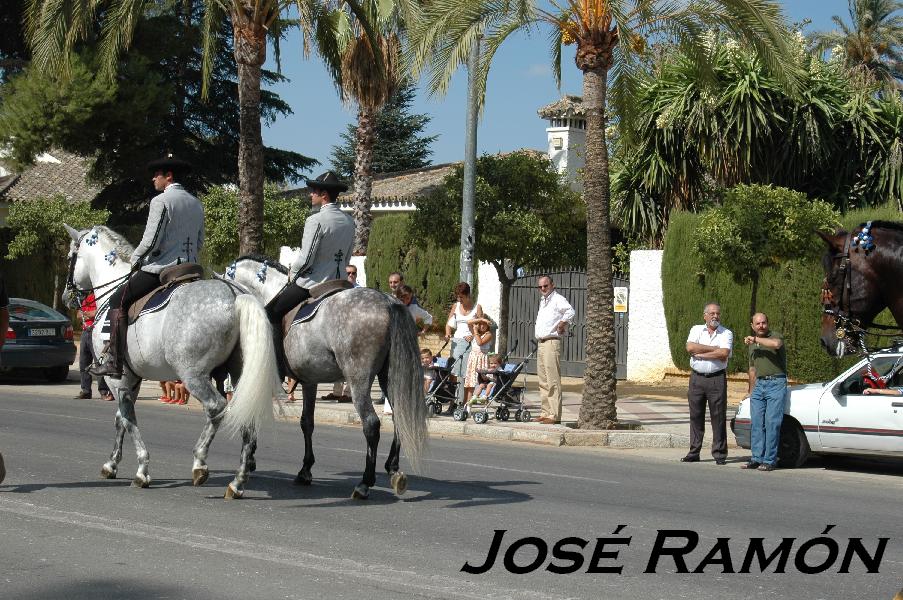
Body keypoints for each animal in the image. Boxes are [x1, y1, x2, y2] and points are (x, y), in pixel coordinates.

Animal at [63, 225, 280, 496]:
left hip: (193, 375)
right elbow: (120, 419)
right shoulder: (132, 379)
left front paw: (142, 470)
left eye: (69, 257)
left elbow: (127, 419)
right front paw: (111, 464)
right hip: (241, 374)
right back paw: (237, 481)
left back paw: (200, 463)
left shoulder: (118, 380)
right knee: (244, 415)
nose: (66, 297)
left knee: (217, 408)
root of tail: (234, 294)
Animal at [222, 255, 428, 500]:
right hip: (389, 377)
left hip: (358, 380)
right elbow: (307, 422)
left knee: (371, 424)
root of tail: (389, 302)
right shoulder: (309, 381)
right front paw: (305, 470)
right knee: (399, 417)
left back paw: (364, 483)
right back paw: (394, 469)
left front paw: (249, 460)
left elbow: (252, 413)